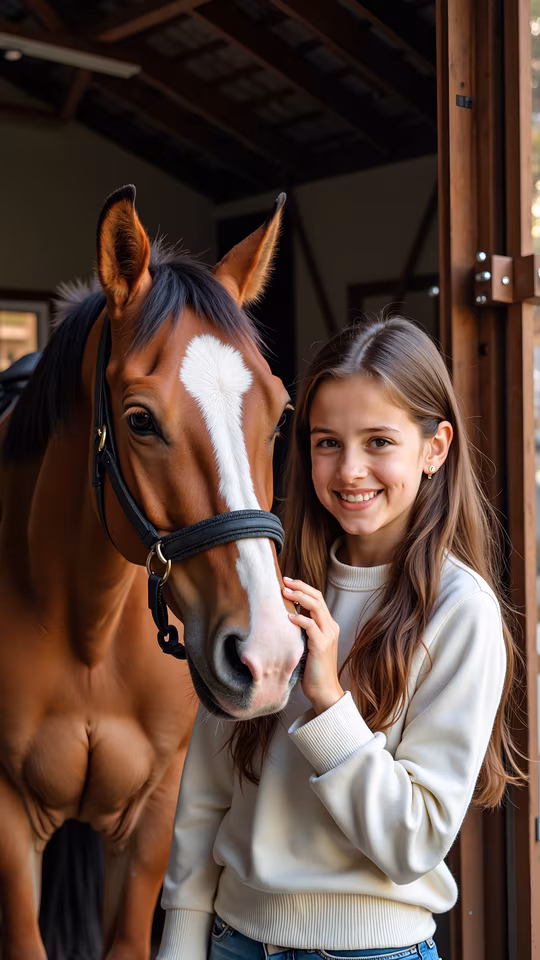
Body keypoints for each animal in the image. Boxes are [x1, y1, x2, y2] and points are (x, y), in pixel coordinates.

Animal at [0, 185, 304, 960]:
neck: (88, 628)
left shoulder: (151, 820)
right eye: (139, 420)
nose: (268, 657)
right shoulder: (8, 824)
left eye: (280, 414)